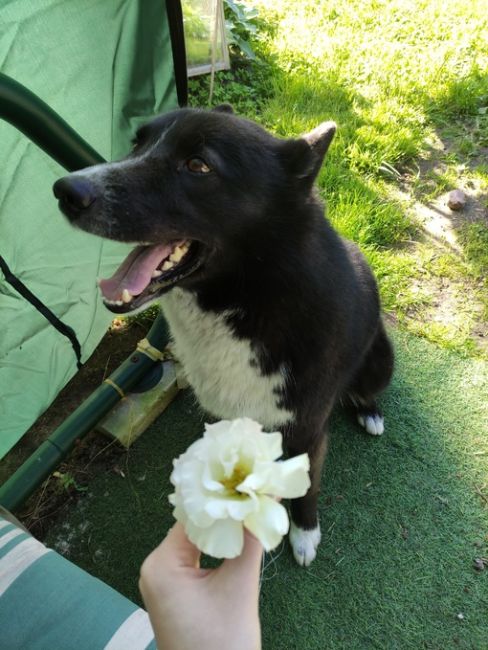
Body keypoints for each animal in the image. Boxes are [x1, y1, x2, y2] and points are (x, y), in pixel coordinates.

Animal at [54, 105, 392, 560]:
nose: (65, 191)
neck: (249, 301)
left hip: (380, 361)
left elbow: (307, 487)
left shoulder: (307, 429)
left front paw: (304, 533)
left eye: (199, 165)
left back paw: (369, 411)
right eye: (137, 143)